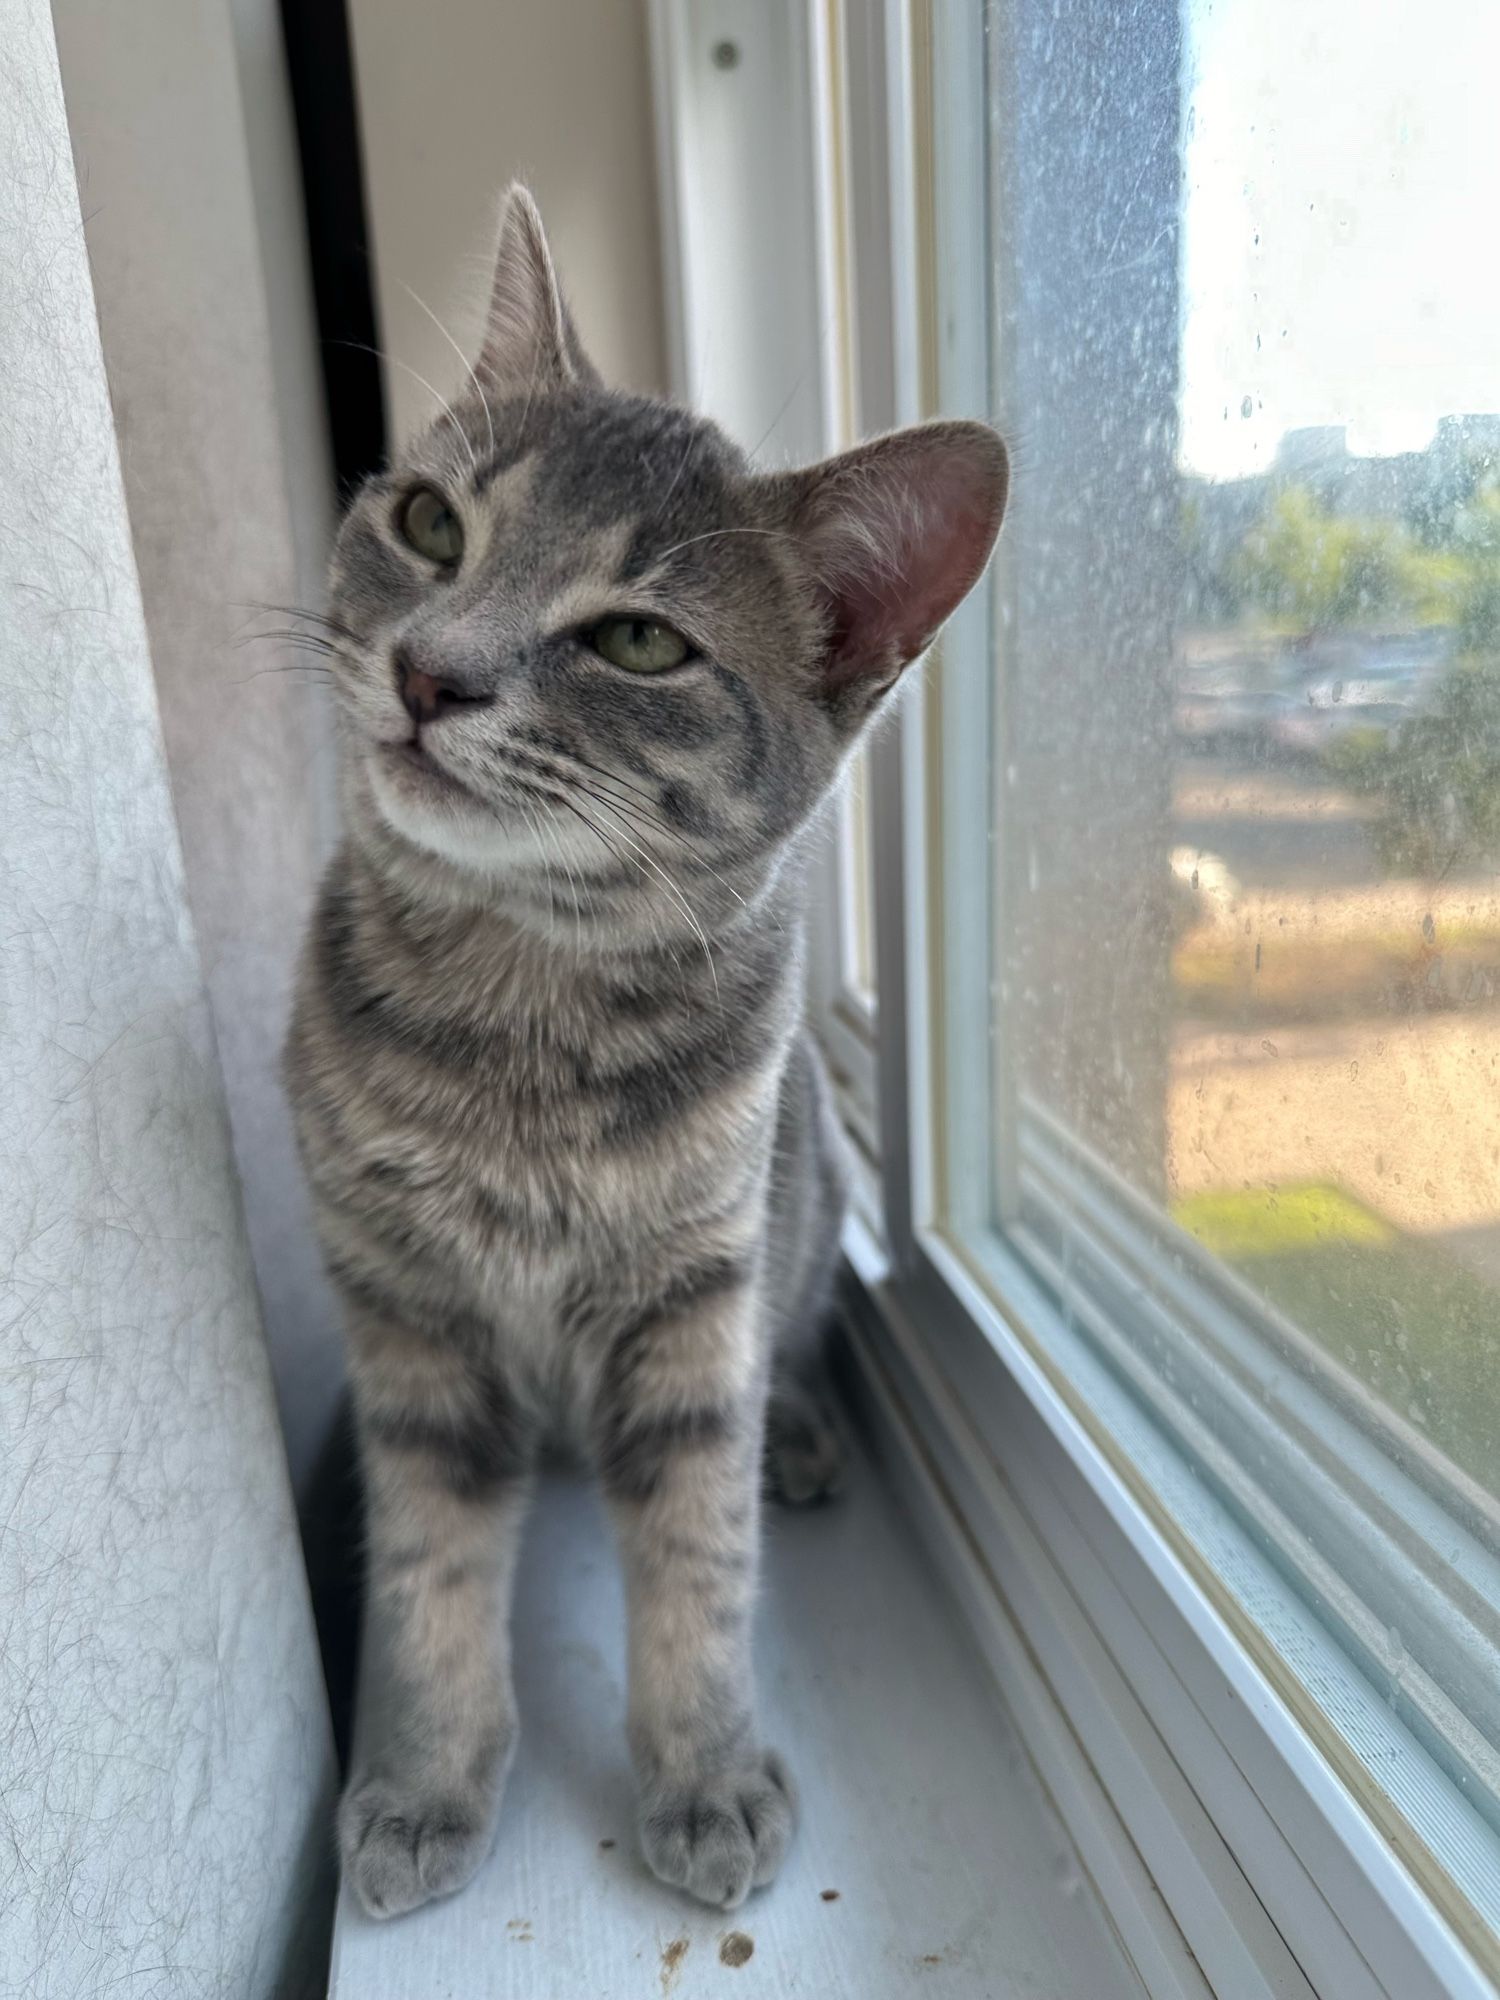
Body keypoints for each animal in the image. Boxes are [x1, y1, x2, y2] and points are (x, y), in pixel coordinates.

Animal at [284, 191, 1012, 1920]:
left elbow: (700, 1556)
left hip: (804, 1204)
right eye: (431, 524)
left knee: (798, 1347)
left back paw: (802, 1432)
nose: (431, 670)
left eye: (635, 640)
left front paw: (705, 1775)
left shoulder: (697, 1304)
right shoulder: (405, 1318)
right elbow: (429, 1567)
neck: (517, 1017)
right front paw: (422, 1779)